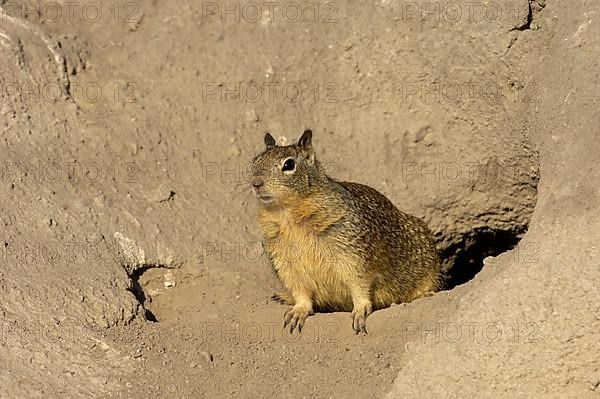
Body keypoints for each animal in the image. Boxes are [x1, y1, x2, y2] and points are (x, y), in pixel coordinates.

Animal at [248, 129, 440, 334]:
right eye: (255, 160)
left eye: (289, 164)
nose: (256, 183)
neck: (288, 215)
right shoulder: (285, 263)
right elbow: (301, 292)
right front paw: (298, 310)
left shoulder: (353, 254)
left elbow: (359, 283)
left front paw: (360, 309)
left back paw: (426, 294)